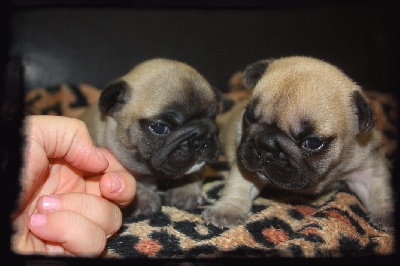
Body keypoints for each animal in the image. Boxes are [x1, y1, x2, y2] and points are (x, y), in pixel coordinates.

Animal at [79, 58, 220, 218]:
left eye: (213, 117)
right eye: (160, 127)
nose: (201, 138)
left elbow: (192, 173)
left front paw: (186, 191)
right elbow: (133, 180)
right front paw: (143, 199)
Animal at [202, 55, 396, 231]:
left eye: (312, 143)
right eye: (249, 116)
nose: (266, 148)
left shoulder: (367, 167)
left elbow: (380, 191)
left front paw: (387, 215)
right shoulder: (245, 163)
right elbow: (238, 185)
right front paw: (227, 210)